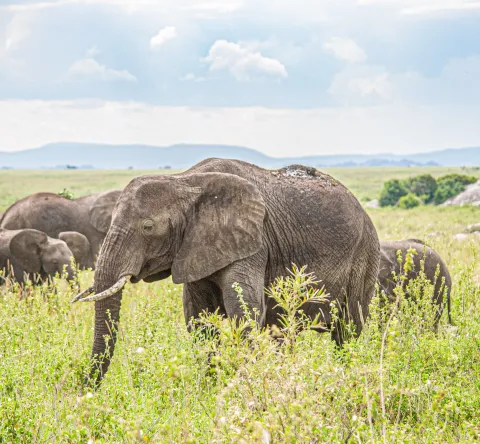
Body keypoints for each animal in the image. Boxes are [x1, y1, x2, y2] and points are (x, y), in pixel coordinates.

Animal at [72, 160, 378, 386]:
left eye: (148, 227)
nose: (85, 388)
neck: (185, 181)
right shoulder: (194, 249)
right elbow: (199, 319)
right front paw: (212, 388)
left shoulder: (253, 241)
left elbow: (246, 312)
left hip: (365, 253)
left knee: (347, 331)